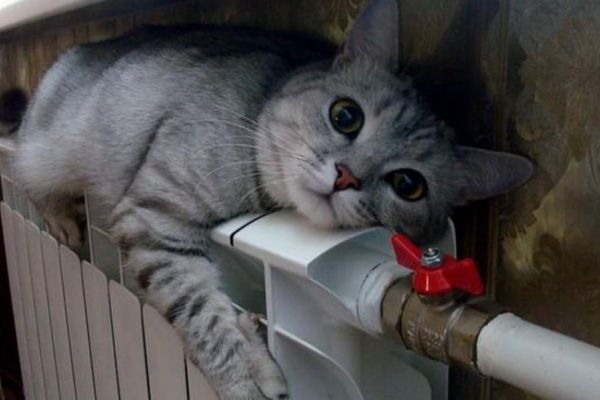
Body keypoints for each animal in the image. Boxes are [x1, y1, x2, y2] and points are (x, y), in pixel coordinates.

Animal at [1, 0, 533, 398]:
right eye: (346, 116)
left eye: (409, 185)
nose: (346, 177)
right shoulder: (155, 216)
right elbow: (200, 312)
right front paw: (244, 376)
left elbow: (217, 310)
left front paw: (251, 338)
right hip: (47, 147)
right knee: (25, 166)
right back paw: (61, 215)